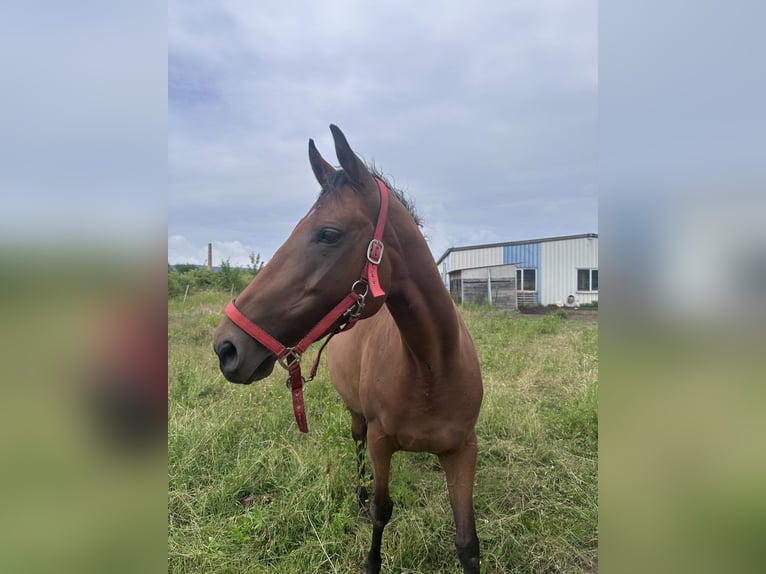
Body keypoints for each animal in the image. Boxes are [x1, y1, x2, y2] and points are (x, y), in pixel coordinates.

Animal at [213, 125, 483, 573]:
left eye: (328, 233)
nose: (226, 348)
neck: (431, 366)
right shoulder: (380, 442)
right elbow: (381, 511)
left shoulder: (462, 450)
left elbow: (467, 543)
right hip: (357, 418)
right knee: (356, 445)